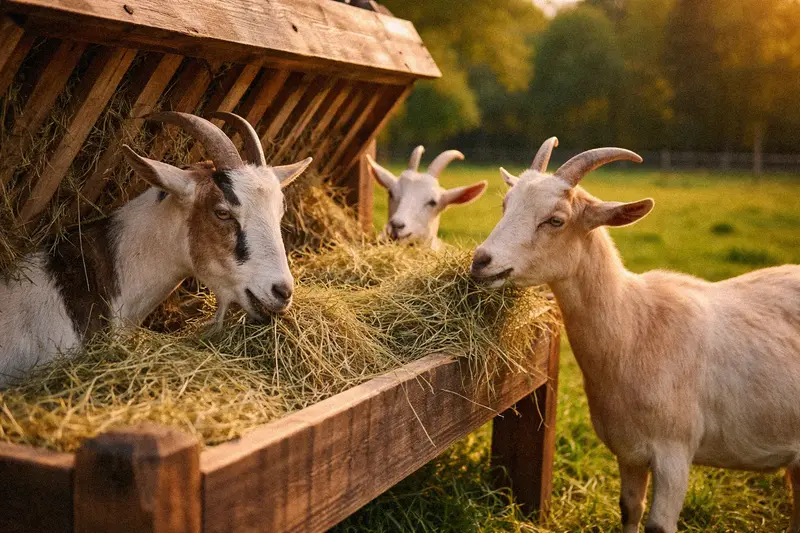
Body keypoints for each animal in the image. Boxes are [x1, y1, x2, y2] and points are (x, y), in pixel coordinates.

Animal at [470, 137, 800, 533]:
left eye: (556, 220)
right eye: (505, 205)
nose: (480, 261)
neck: (636, 328)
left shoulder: (675, 453)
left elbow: (658, 524)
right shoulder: (628, 450)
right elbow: (629, 508)